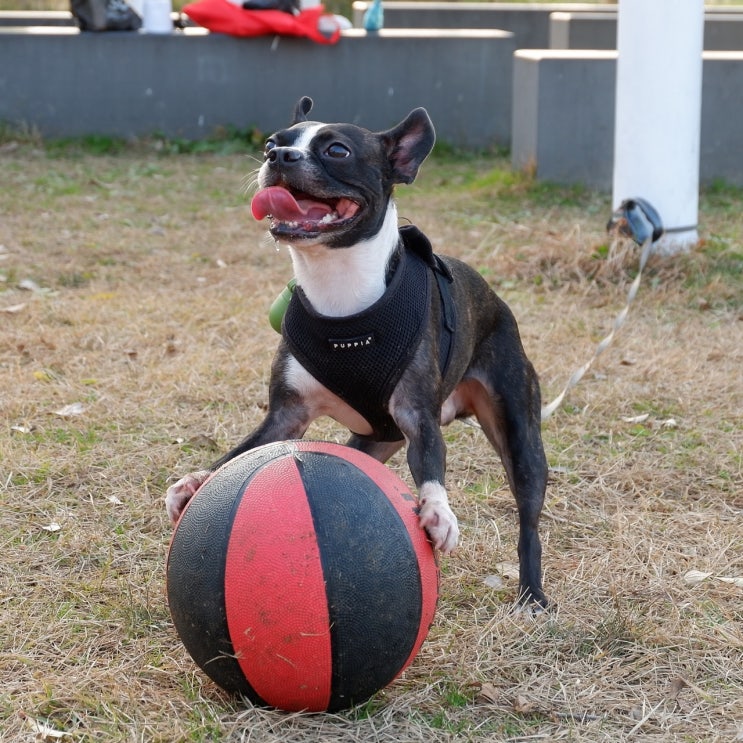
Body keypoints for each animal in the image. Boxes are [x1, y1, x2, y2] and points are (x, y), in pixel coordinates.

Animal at [170, 99, 552, 608]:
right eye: (271, 142)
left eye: (337, 150)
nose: (280, 157)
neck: (339, 293)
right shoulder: (285, 417)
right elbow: (239, 453)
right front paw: (197, 481)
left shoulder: (417, 416)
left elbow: (432, 466)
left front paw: (437, 511)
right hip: (373, 441)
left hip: (520, 435)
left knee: (528, 520)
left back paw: (532, 596)